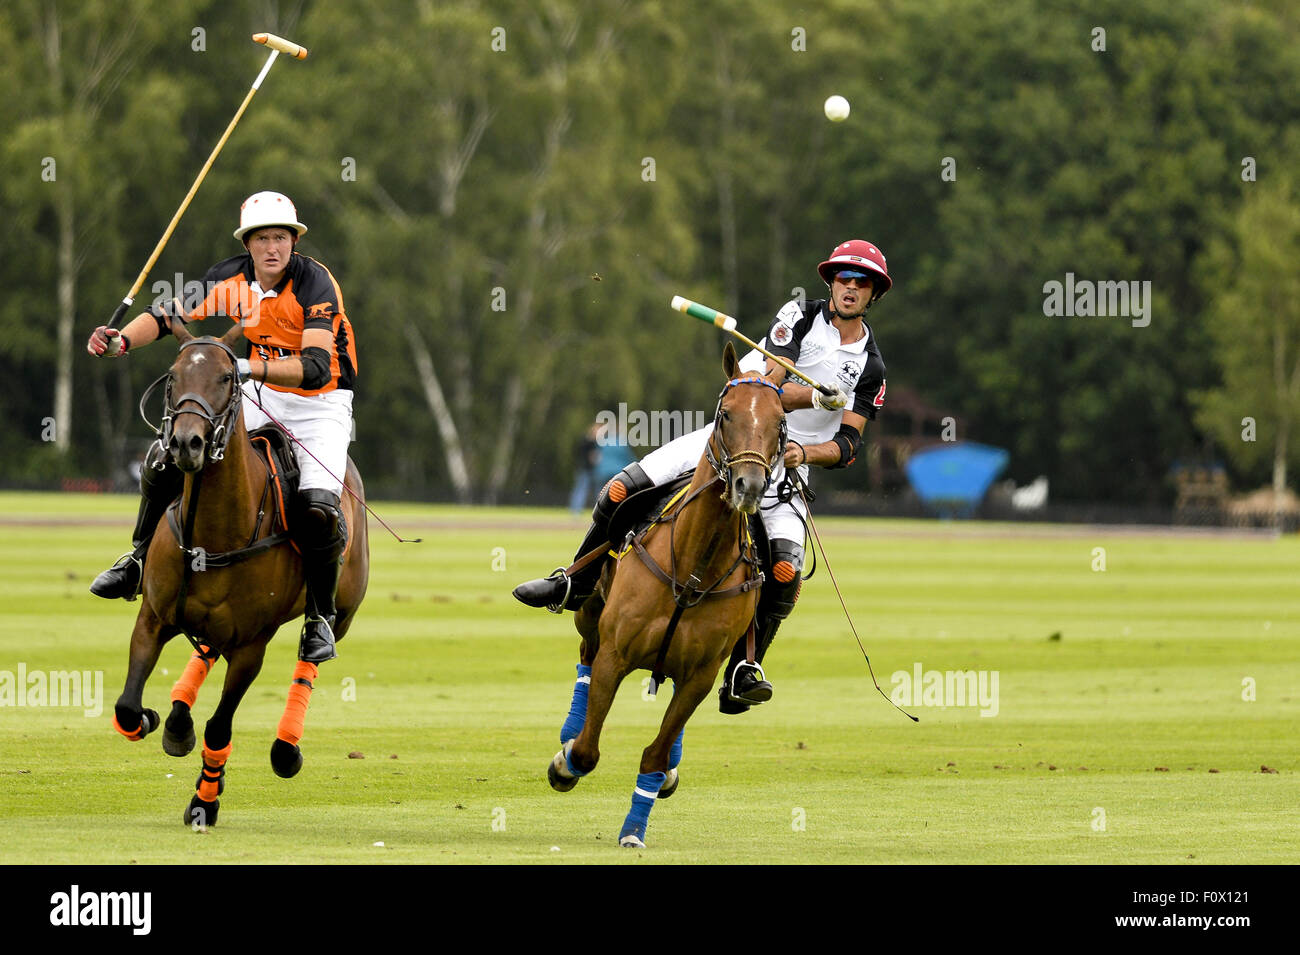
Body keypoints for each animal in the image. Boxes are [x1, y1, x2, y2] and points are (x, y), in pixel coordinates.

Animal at [110, 317, 371, 826]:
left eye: (227, 378)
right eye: (173, 378)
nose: (186, 443)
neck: (214, 534)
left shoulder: (252, 645)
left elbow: (218, 728)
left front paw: (203, 803)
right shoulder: (153, 617)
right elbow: (129, 708)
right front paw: (162, 721)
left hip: (343, 611)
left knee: (312, 644)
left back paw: (286, 747)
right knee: (207, 648)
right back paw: (177, 716)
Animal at [546, 343, 780, 841]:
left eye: (780, 421)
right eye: (725, 414)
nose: (748, 486)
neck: (692, 569)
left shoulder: (700, 675)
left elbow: (655, 751)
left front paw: (635, 828)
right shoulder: (616, 652)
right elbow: (587, 749)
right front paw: (564, 762)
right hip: (591, 614)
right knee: (585, 655)